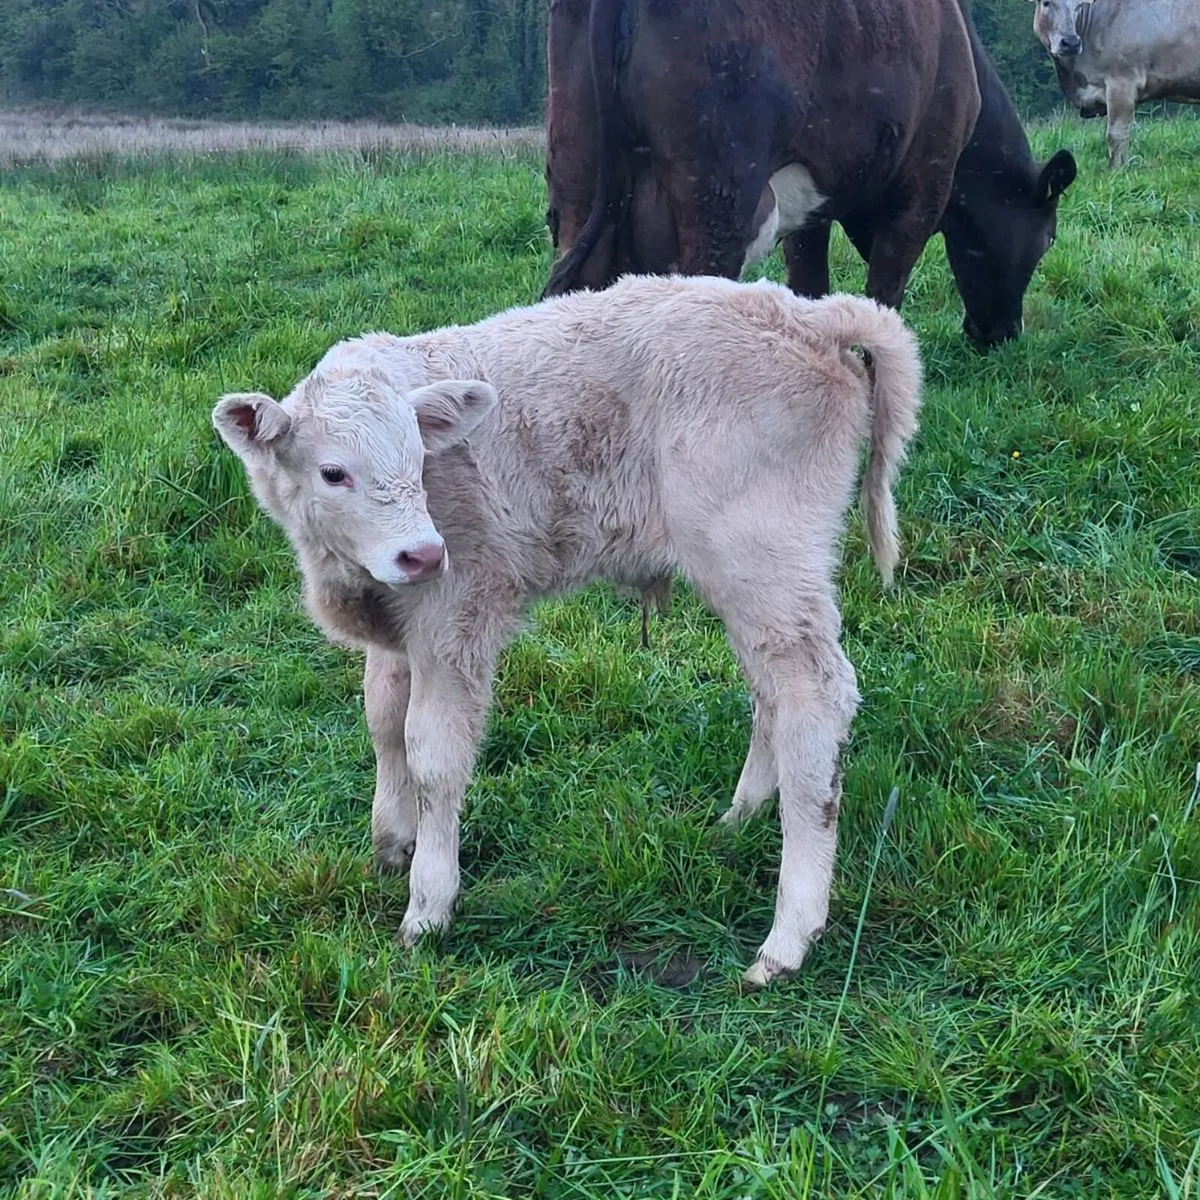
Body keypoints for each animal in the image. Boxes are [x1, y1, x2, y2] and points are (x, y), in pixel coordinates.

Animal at [212, 275, 923, 986]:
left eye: (419, 462)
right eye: (334, 472)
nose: (424, 554)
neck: (348, 574)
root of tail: (804, 315)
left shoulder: (456, 617)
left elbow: (433, 754)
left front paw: (428, 905)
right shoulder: (397, 630)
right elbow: (384, 723)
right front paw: (391, 842)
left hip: (764, 559)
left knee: (813, 697)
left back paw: (788, 938)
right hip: (753, 586)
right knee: (772, 692)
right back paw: (738, 819)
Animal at [543, 0, 1077, 348]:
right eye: (1048, 239)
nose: (1002, 334)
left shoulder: (812, 206)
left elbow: (809, 281)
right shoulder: (925, 185)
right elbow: (885, 290)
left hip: (578, 175)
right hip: (718, 198)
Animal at [1033, 0, 1200, 168]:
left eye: (1079, 5)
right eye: (1047, 3)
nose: (1071, 43)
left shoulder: (1122, 82)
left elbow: (1116, 134)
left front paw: (1117, 168)